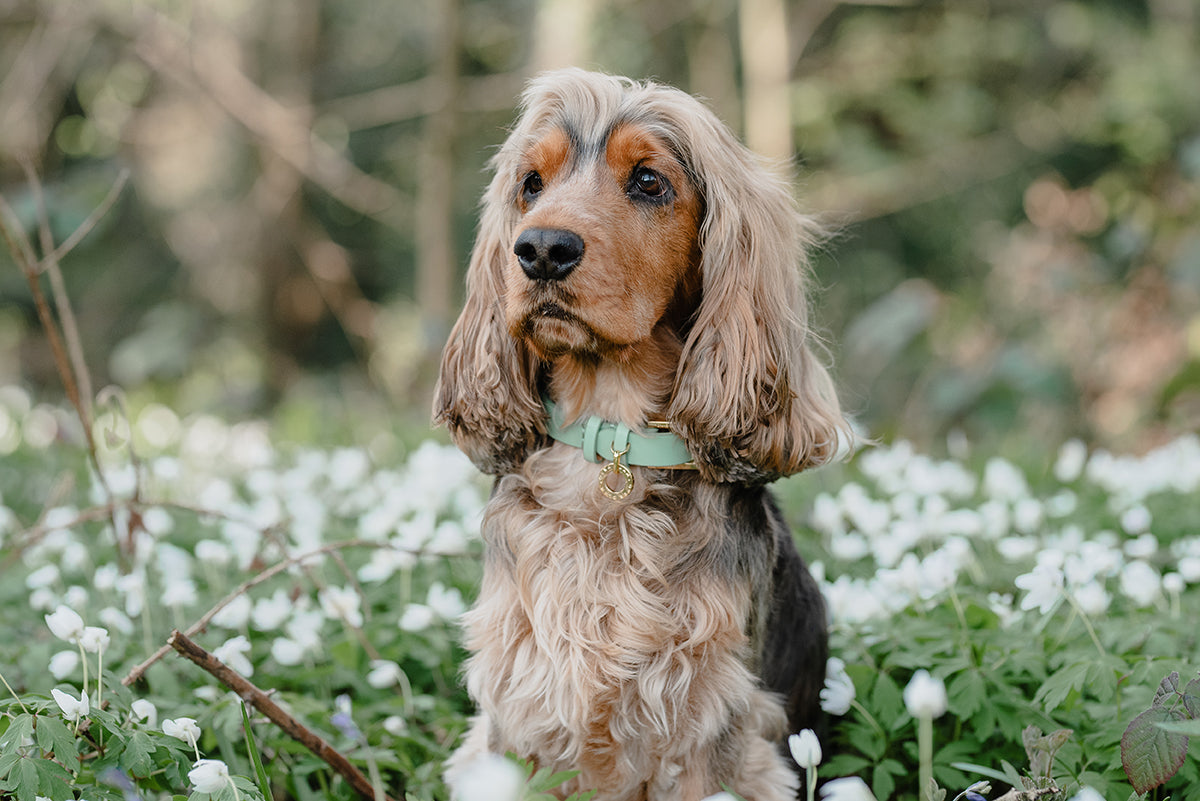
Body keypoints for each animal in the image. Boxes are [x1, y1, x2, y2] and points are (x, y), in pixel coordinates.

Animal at [436, 70, 849, 801]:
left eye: (650, 182)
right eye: (531, 183)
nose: (540, 250)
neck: (609, 435)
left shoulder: (710, 723)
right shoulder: (521, 708)